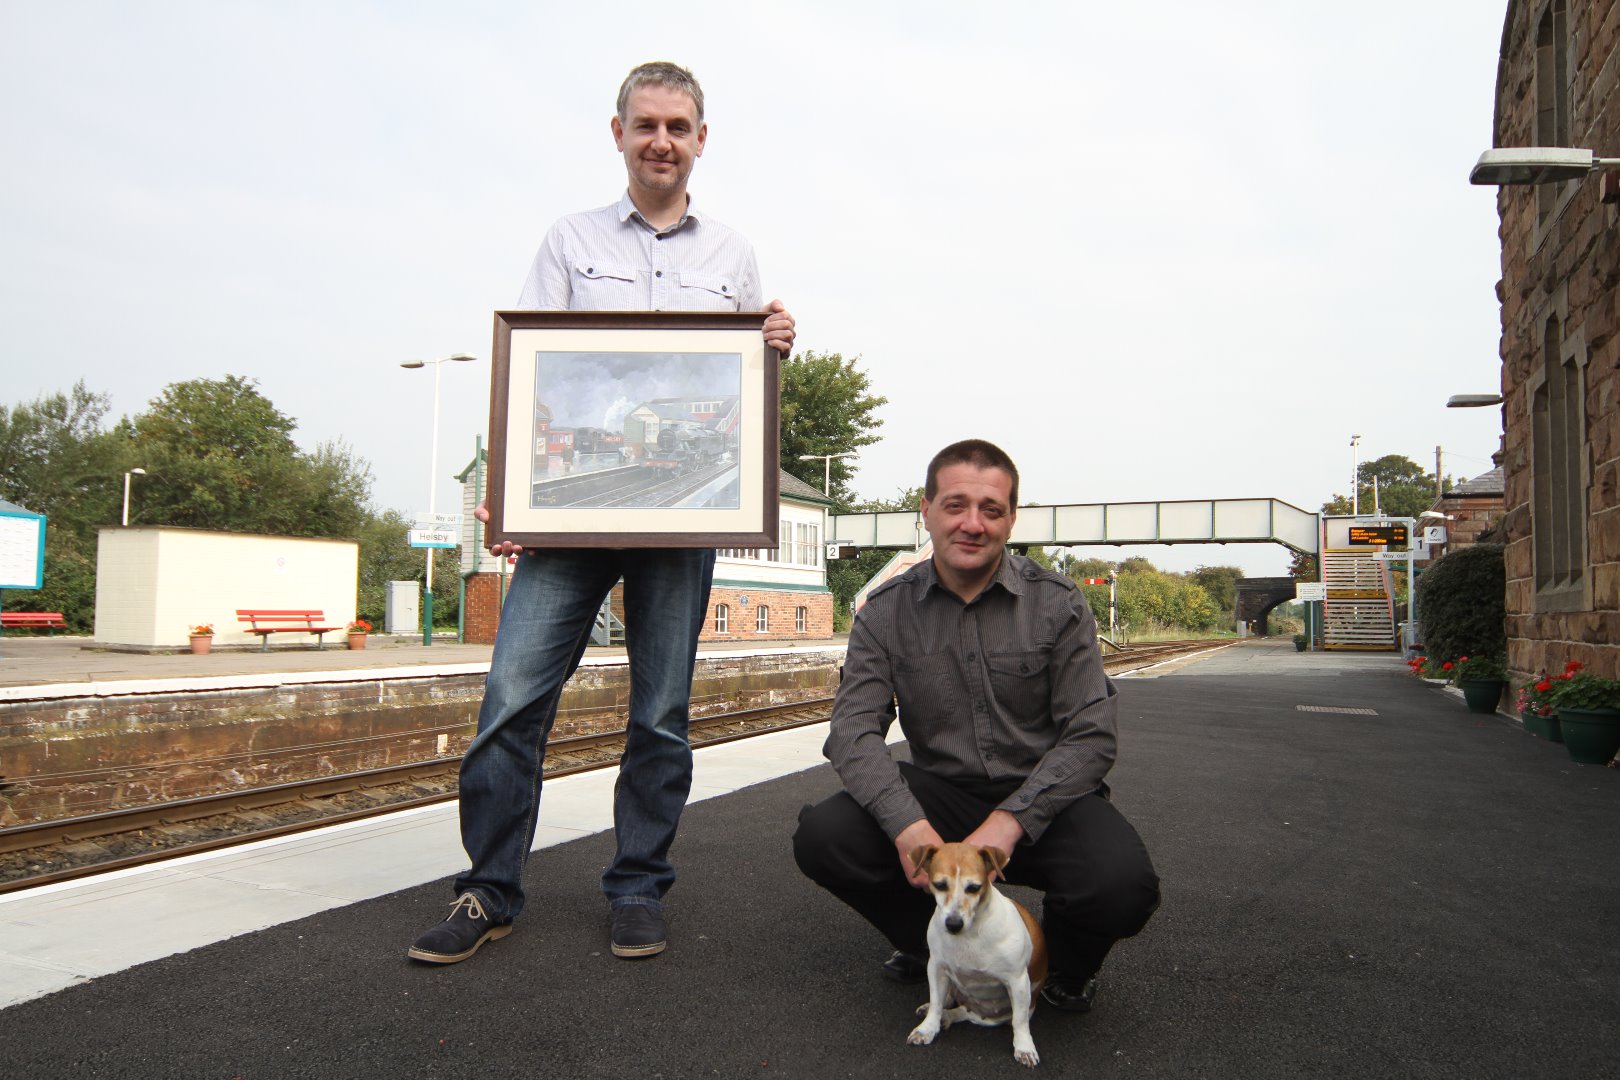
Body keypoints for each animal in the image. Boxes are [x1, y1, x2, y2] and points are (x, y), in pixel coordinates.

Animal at [907, 841, 1043, 1062]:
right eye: (940, 885)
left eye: (974, 888)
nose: (953, 924)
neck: (969, 935)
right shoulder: (936, 968)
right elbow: (936, 1002)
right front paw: (927, 1027)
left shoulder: (1018, 981)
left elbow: (1020, 1021)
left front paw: (1024, 1047)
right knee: (950, 1003)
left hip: (994, 1015)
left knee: (968, 1014)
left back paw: (949, 1016)